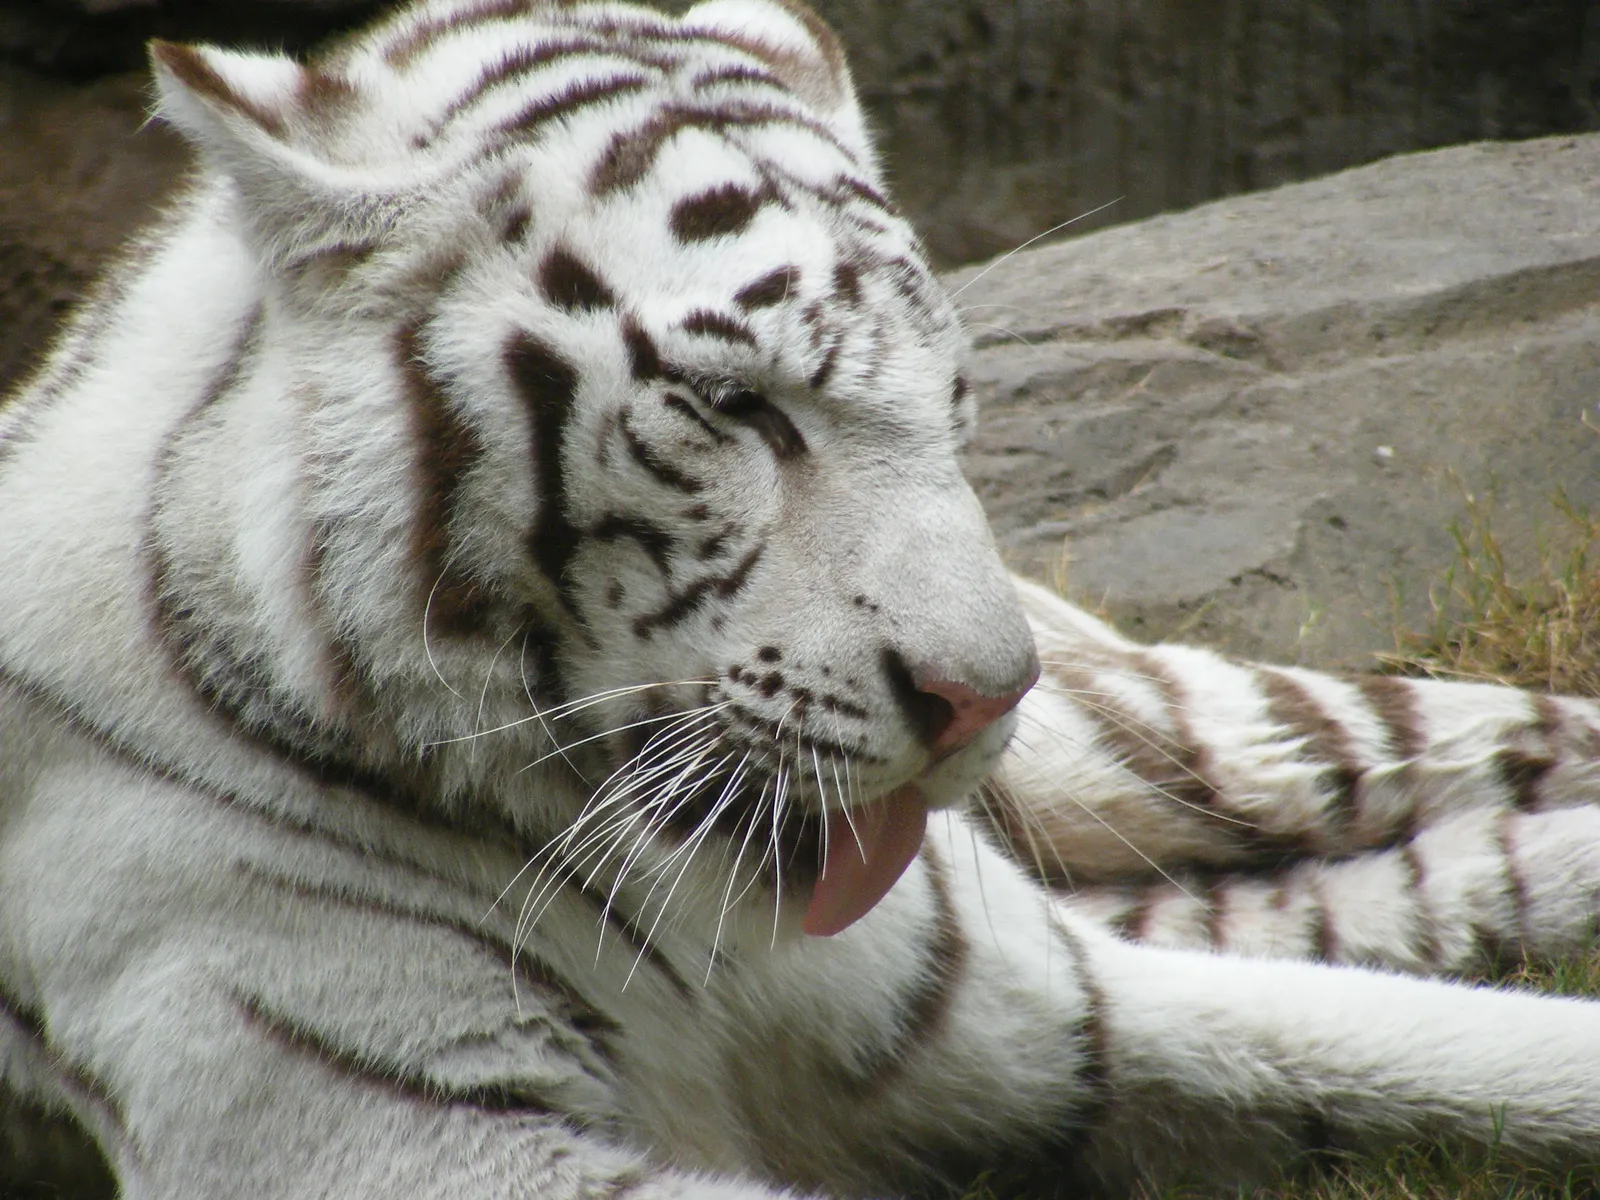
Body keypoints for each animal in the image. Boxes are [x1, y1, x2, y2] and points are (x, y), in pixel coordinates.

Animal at [3, 1, 1600, 1197]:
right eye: (737, 409)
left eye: (953, 404)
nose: (981, 698)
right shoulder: (384, 1138)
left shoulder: (1048, 1018)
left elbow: (1462, 1050)